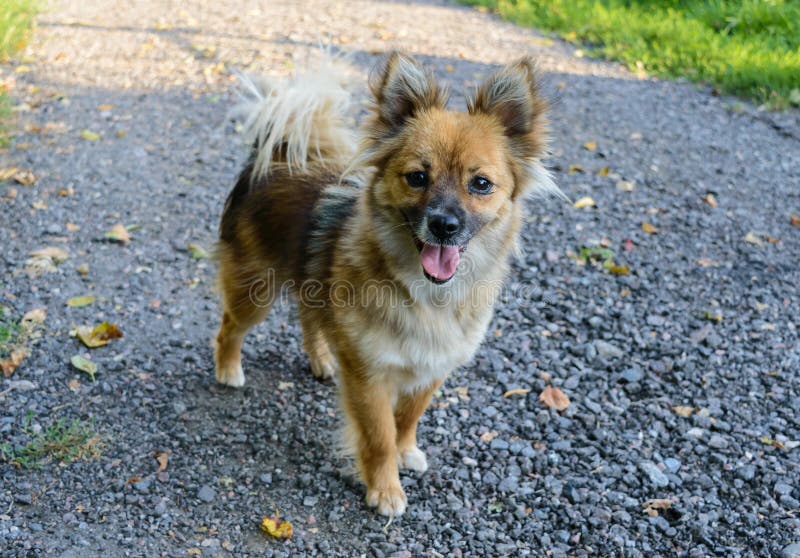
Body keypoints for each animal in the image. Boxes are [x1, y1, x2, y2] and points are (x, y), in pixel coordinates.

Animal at [216, 50, 560, 520]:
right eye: (417, 177)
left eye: (481, 184)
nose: (444, 225)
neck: (426, 293)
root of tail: (279, 154)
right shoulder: (370, 376)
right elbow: (378, 437)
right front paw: (385, 489)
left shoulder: (432, 369)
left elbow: (408, 419)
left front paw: (406, 451)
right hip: (254, 293)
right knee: (229, 328)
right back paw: (228, 369)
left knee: (308, 317)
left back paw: (322, 359)